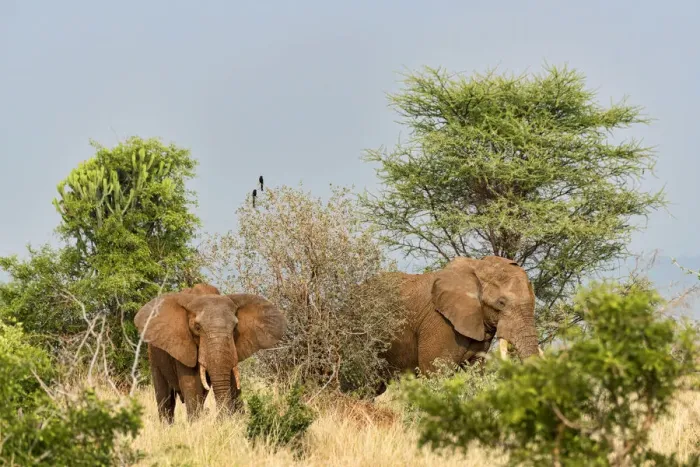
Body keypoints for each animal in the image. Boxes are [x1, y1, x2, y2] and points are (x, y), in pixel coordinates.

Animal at [134, 283, 286, 423]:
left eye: (235, 328)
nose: (219, 418)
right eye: (197, 327)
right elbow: (191, 384)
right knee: (165, 398)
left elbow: (231, 380)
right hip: (154, 356)